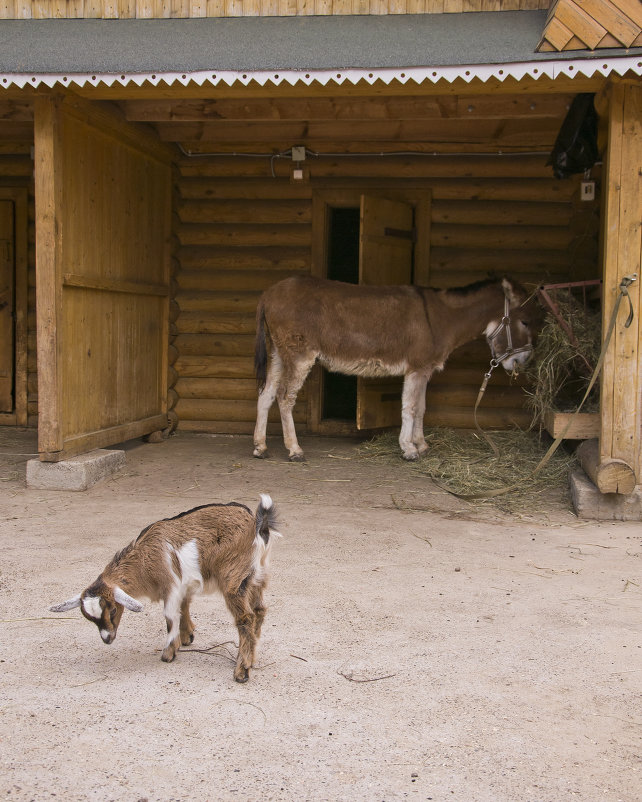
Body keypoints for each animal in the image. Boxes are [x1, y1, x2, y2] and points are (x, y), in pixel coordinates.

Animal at [48, 494, 278, 680]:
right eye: (88, 617)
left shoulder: (171, 586)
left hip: (234, 578)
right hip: (256, 576)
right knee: (259, 610)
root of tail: (258, 526)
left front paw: (169, 653)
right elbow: (184, 606)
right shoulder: (183, 585)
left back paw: (242, 670)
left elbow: (169, 617)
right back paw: (250, 656)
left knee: (245, 618)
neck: (144, 558)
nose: (107, 638)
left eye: (112, 609)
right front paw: (187, 637)